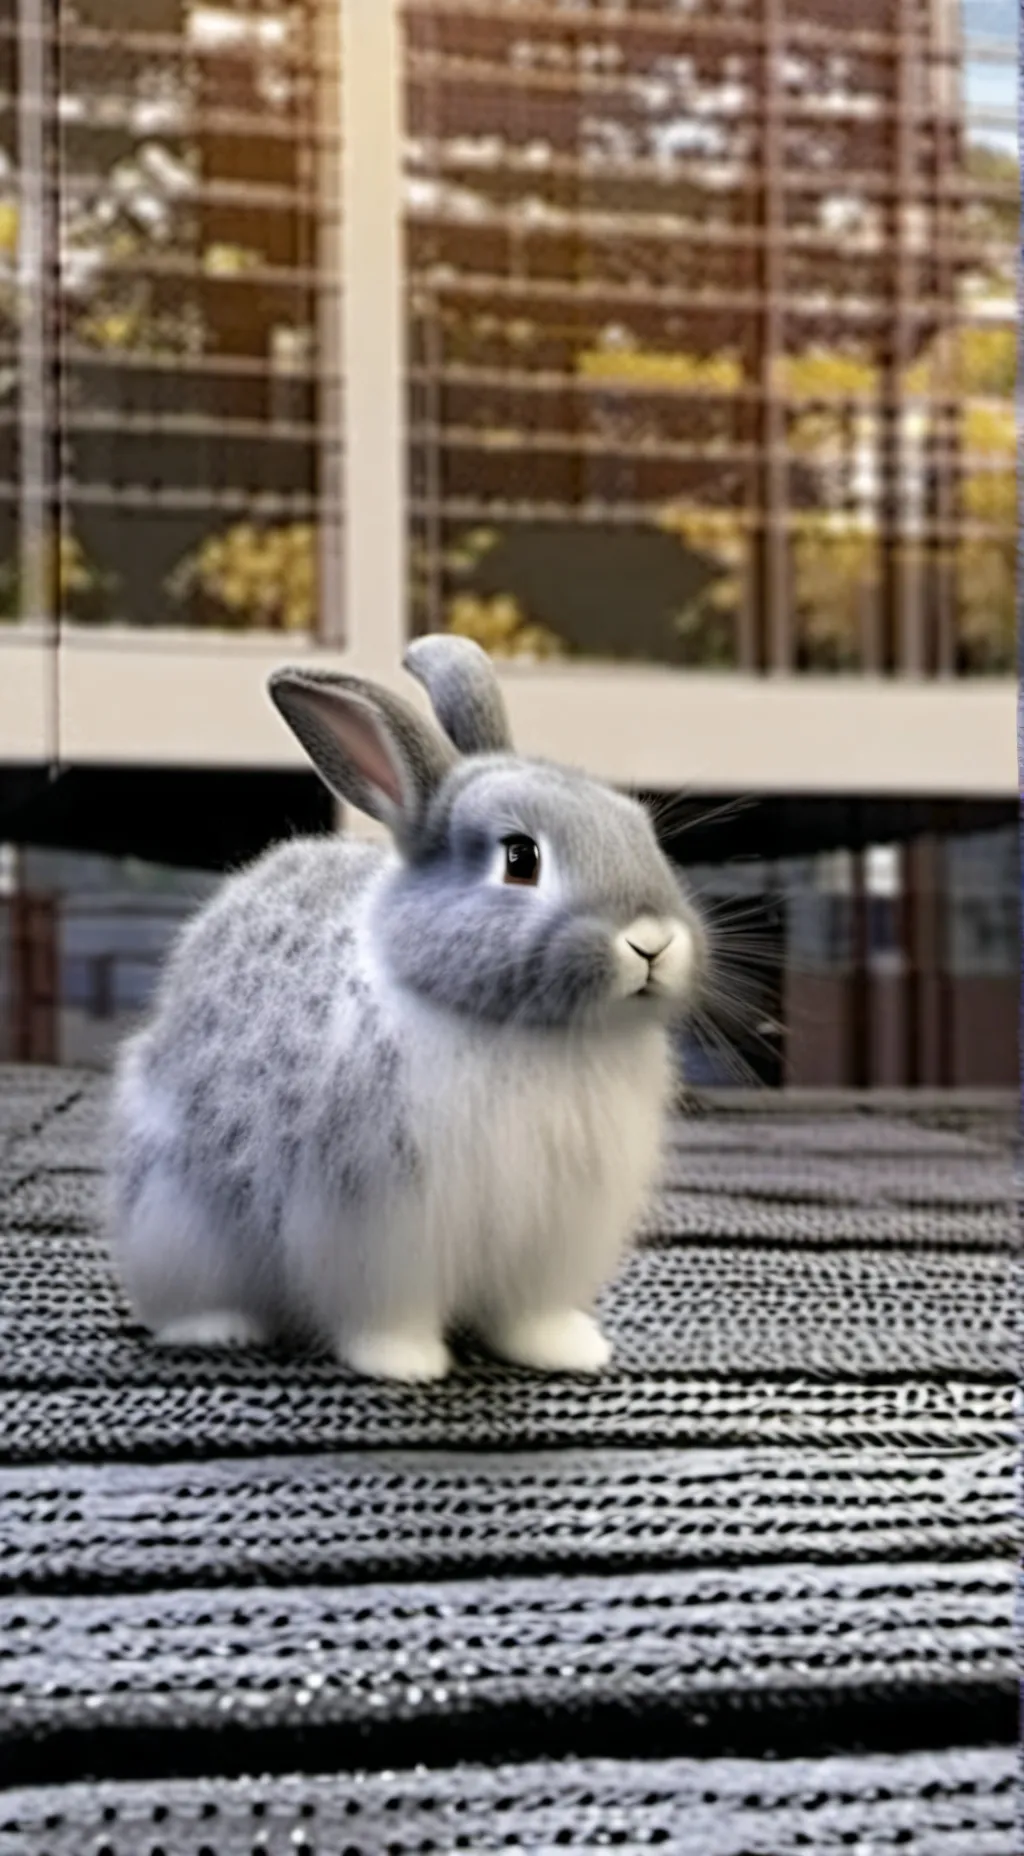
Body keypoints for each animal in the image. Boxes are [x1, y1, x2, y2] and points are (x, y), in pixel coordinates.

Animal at [104, 635, 708, 1382]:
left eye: (638, 828)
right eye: (520, 858)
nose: (652, 942)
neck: (519, 1031)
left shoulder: (548, 1237)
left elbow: (527, 1314)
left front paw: (567, 1351)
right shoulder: (378, 1231)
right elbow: (386, 1313)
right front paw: (406, 1364)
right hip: (177, 1216)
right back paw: (218, 1329)